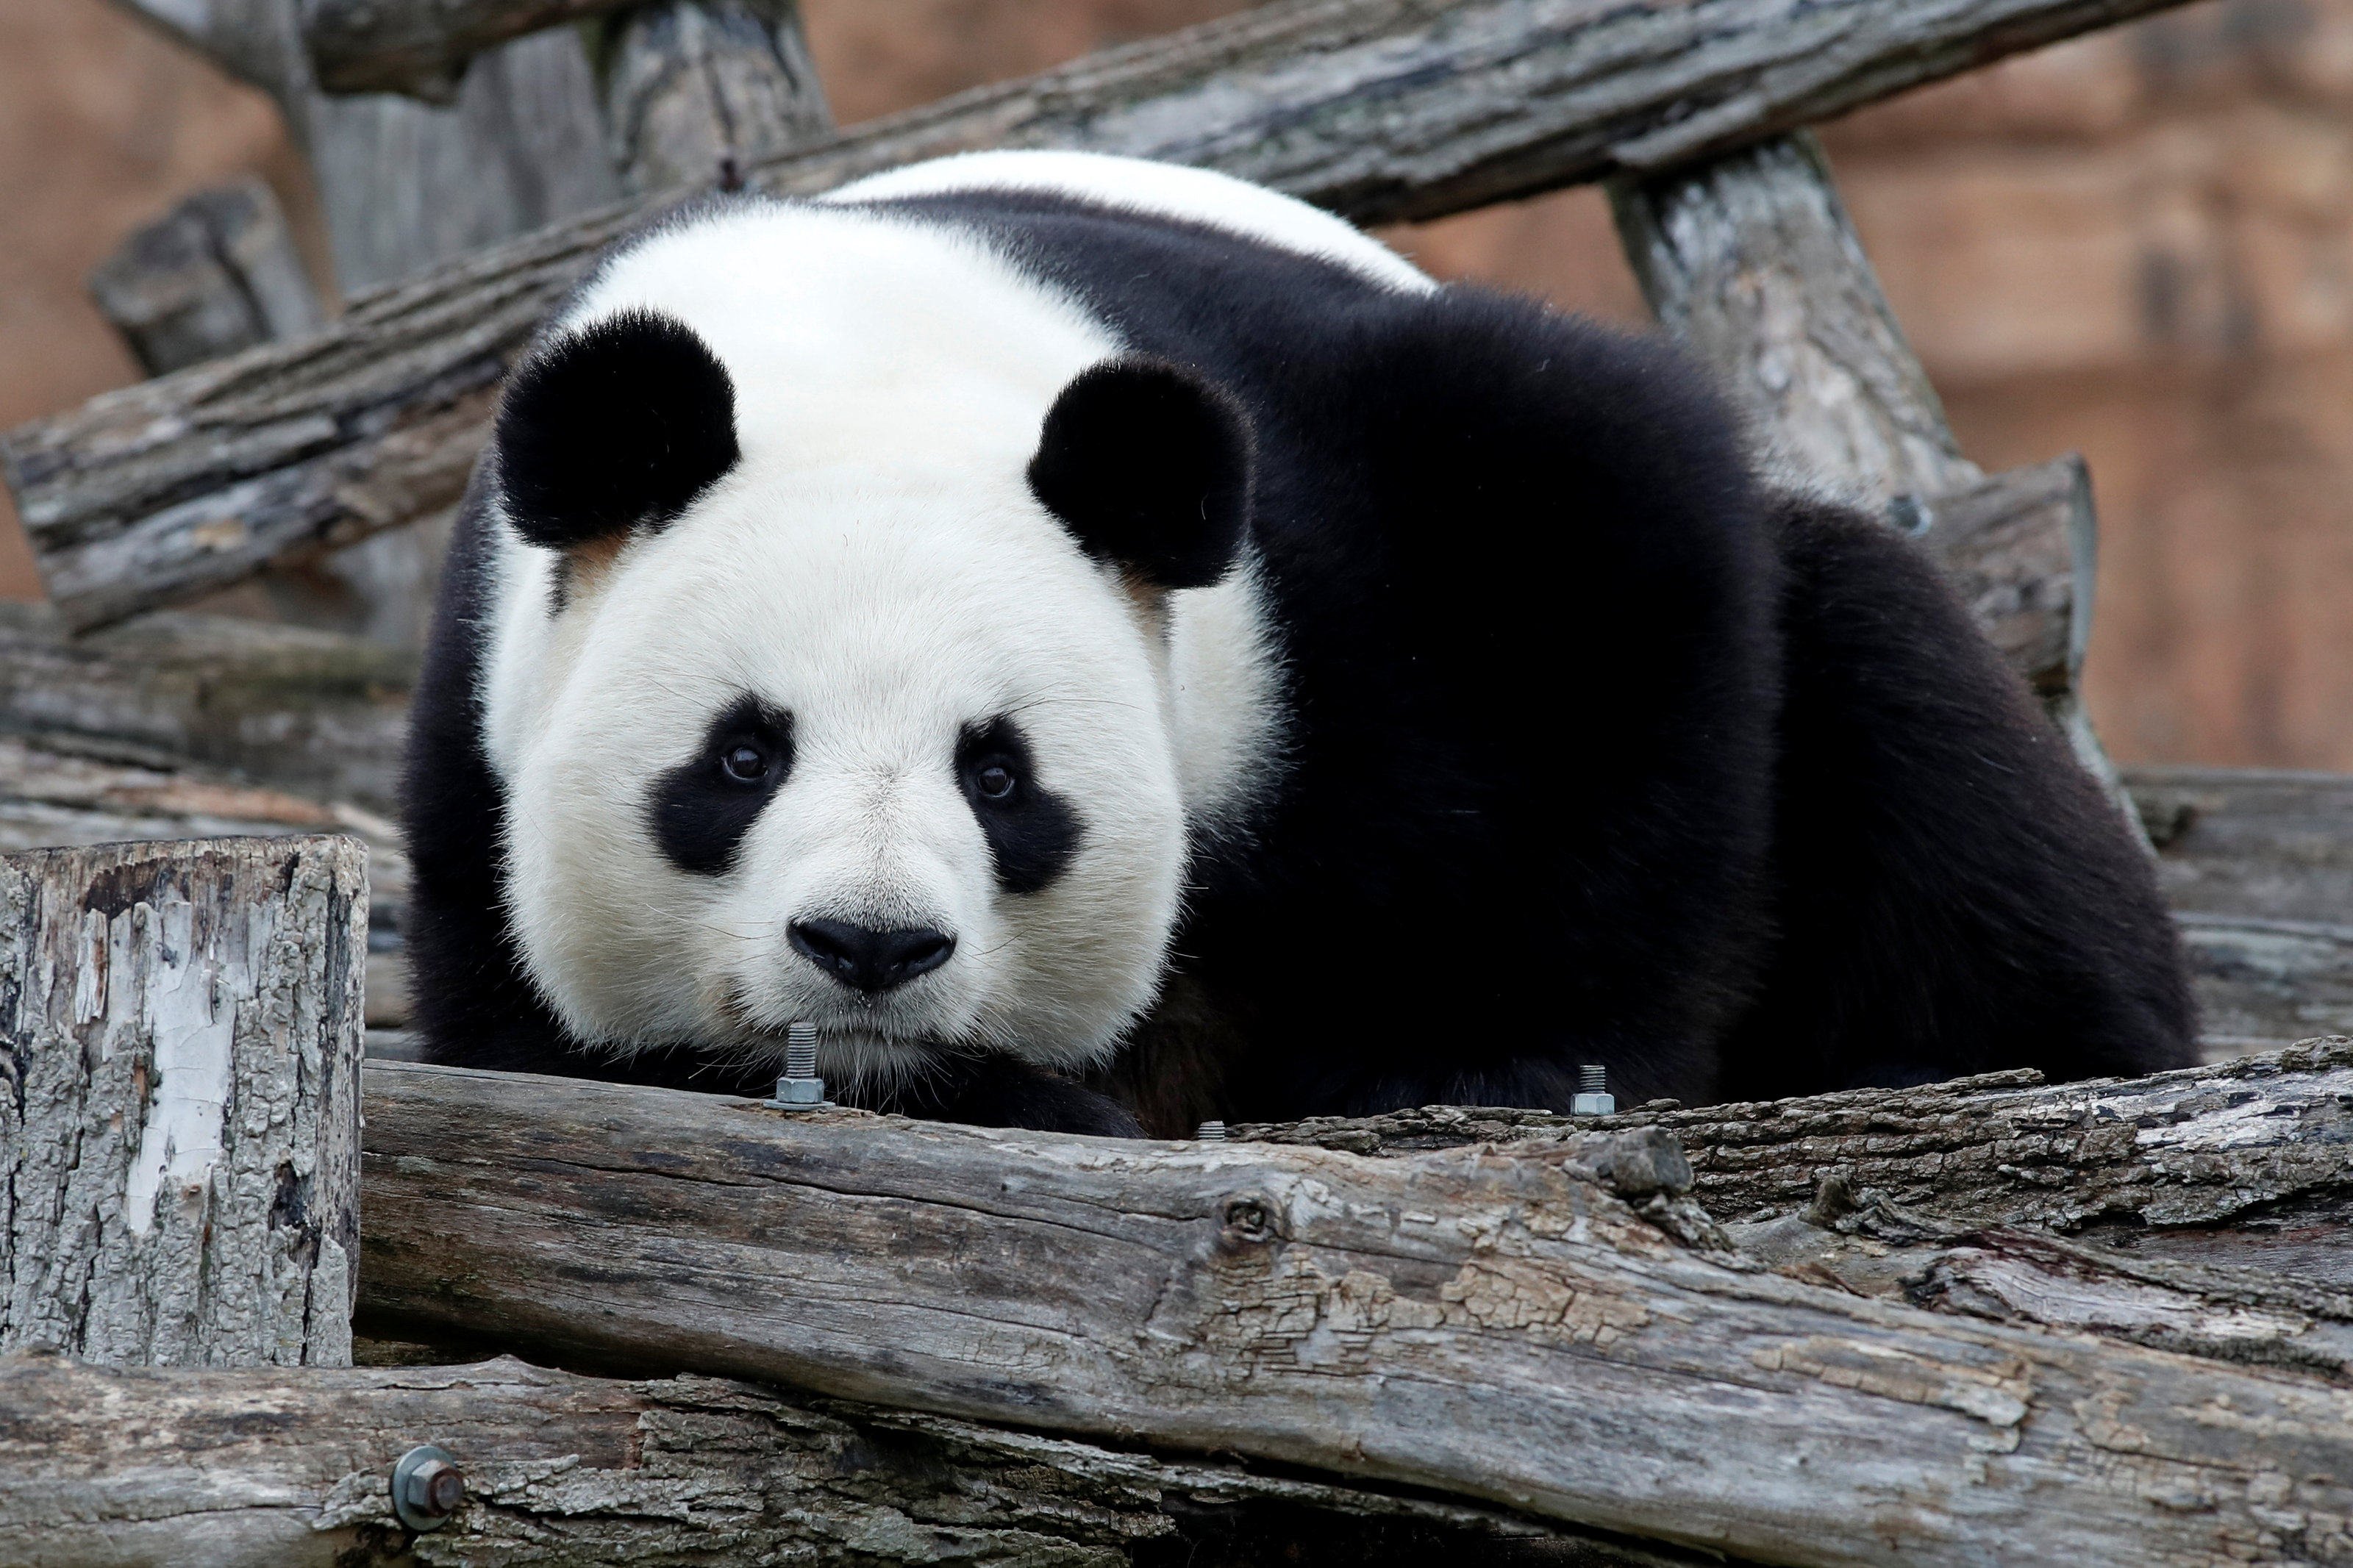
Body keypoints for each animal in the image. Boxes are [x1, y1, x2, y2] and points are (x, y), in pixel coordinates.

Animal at [409, 146, 2202, 1133]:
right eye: (740, 756)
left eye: (1003, 775)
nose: (870, 947)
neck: (850, 353)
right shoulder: (479, 745)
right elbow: (538, 1053)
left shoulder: (1334, 499)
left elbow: (1611, 531)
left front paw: (1489, 1060)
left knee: (1910, 729)